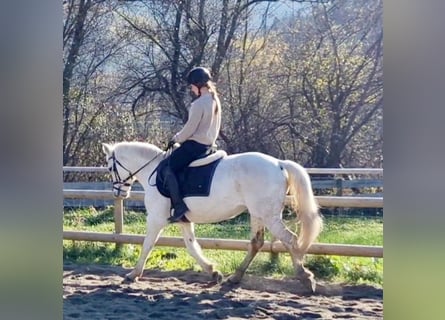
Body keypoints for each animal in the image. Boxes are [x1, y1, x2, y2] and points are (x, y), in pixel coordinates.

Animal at [101, 141, 322, 292]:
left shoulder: (155, 219)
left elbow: (147, 244)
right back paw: (235, 277)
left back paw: (306, 278)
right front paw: (213, 272)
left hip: (268, 215)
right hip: (258, 214)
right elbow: (191, 246)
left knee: (290, 239)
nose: (119, 193)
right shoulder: (183, 220)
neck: (152, 171)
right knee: (257, 243)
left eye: (110, 168)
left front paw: (133, 274)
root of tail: (279, 164)